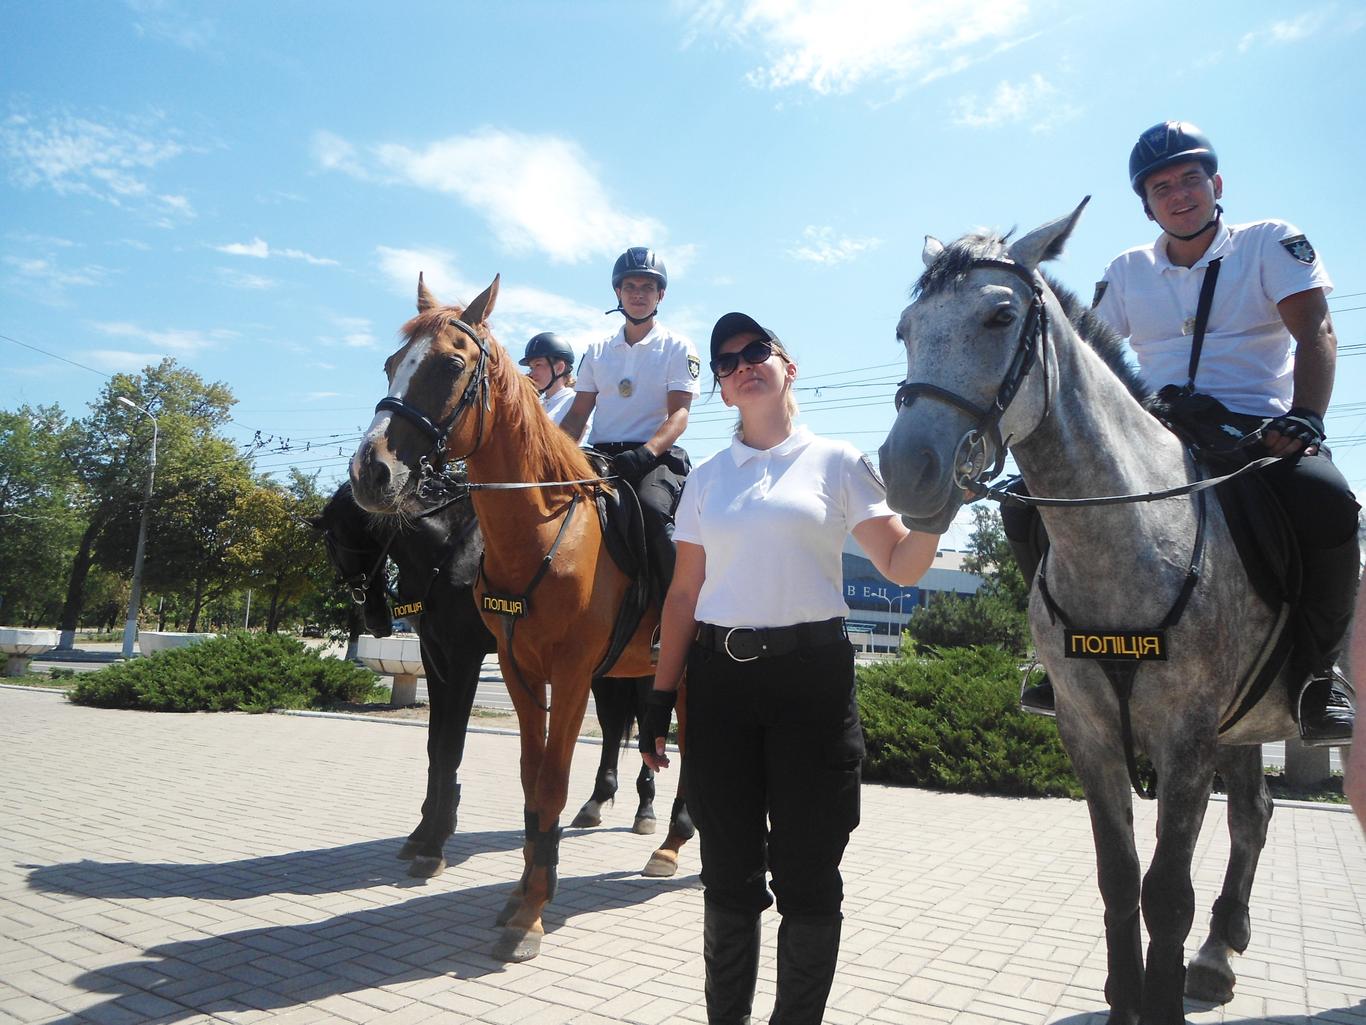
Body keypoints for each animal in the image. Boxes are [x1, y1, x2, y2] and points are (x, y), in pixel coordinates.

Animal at [314, 486, 688, 880]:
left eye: (334, 541)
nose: (373, 618)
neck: (448, 546)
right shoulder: (434, 656)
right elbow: (434, 746)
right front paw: (422, 832)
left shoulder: (464, 657)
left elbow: (449, 747)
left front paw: (434, 841)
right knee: (614, 725)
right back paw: (598, 802)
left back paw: (651, 814)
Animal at [352, 273, 688, 962]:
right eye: (392, 364)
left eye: (451, 364)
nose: (371, 470)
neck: (542, 530)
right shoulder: (513, 668)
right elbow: (527, 780)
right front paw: (522, 891)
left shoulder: (568, 672)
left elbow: (550, 779)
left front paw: (532, 910)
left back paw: (669, 840)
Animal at [874, 200, 1300, 1025]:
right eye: (906, 327)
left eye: (1000, 315)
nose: (907, 471)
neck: (1125, 534)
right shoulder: (1089, 731)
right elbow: (1118, 878)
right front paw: (1125, 997)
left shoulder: (1186, 739)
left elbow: (1165, 892)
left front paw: (1158, 1001)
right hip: (1243, 723)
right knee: (1254, 813)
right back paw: (1218, 951)